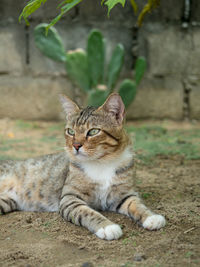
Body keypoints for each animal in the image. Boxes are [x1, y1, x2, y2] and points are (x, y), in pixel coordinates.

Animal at [0, 93, 166, 241]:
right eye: (70, 131)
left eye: (93, 131)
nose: (76, 145)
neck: (101, 163)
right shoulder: (70, 198)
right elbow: (88, 213)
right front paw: (107, 227)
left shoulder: (124, 194)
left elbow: (137, 205)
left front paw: (151, 217)